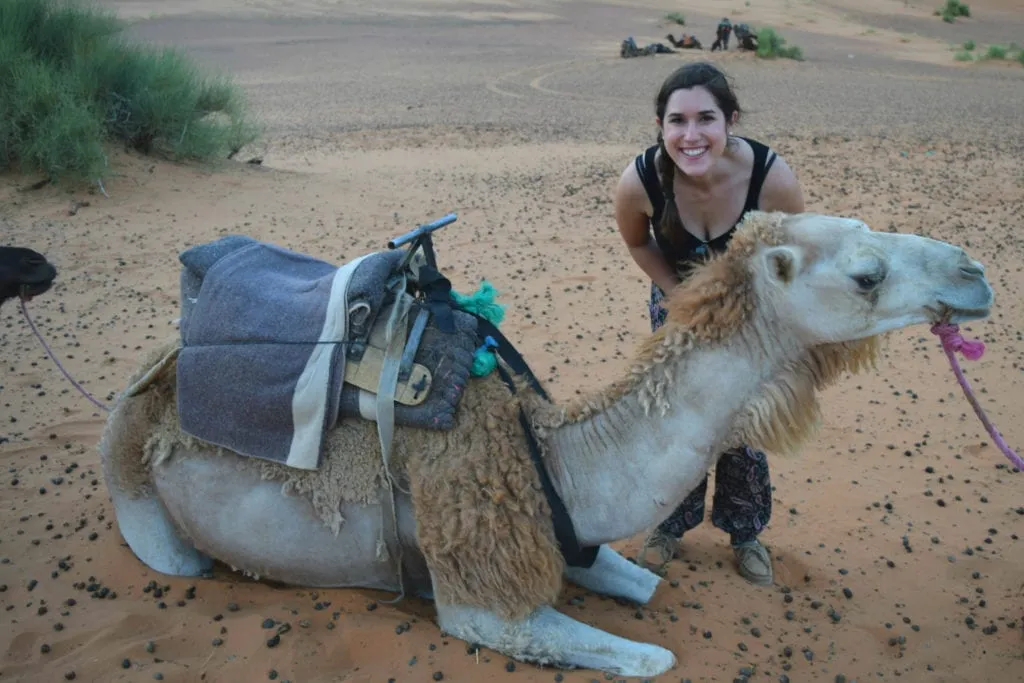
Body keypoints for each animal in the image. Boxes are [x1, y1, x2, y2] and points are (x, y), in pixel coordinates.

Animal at [96, 211, 991, 679]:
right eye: (868, 272)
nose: (975, 272)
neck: (556, 457)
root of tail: (148, 374)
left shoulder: (566, 534)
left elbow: (647, 587)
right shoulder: (479, 597)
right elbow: (650, 657)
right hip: (143, 504)